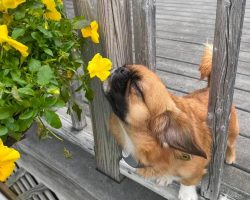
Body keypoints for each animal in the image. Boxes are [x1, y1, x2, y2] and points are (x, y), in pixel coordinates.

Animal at [103, 44, 238, 200]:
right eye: (125, 66)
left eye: (136, 87)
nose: (121, 69)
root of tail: (209, 88)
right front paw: (166, 177)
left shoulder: (195, 168)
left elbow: (188, 180)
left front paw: (186, 194)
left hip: (230, 135)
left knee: (231, 145)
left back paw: (230, 157)